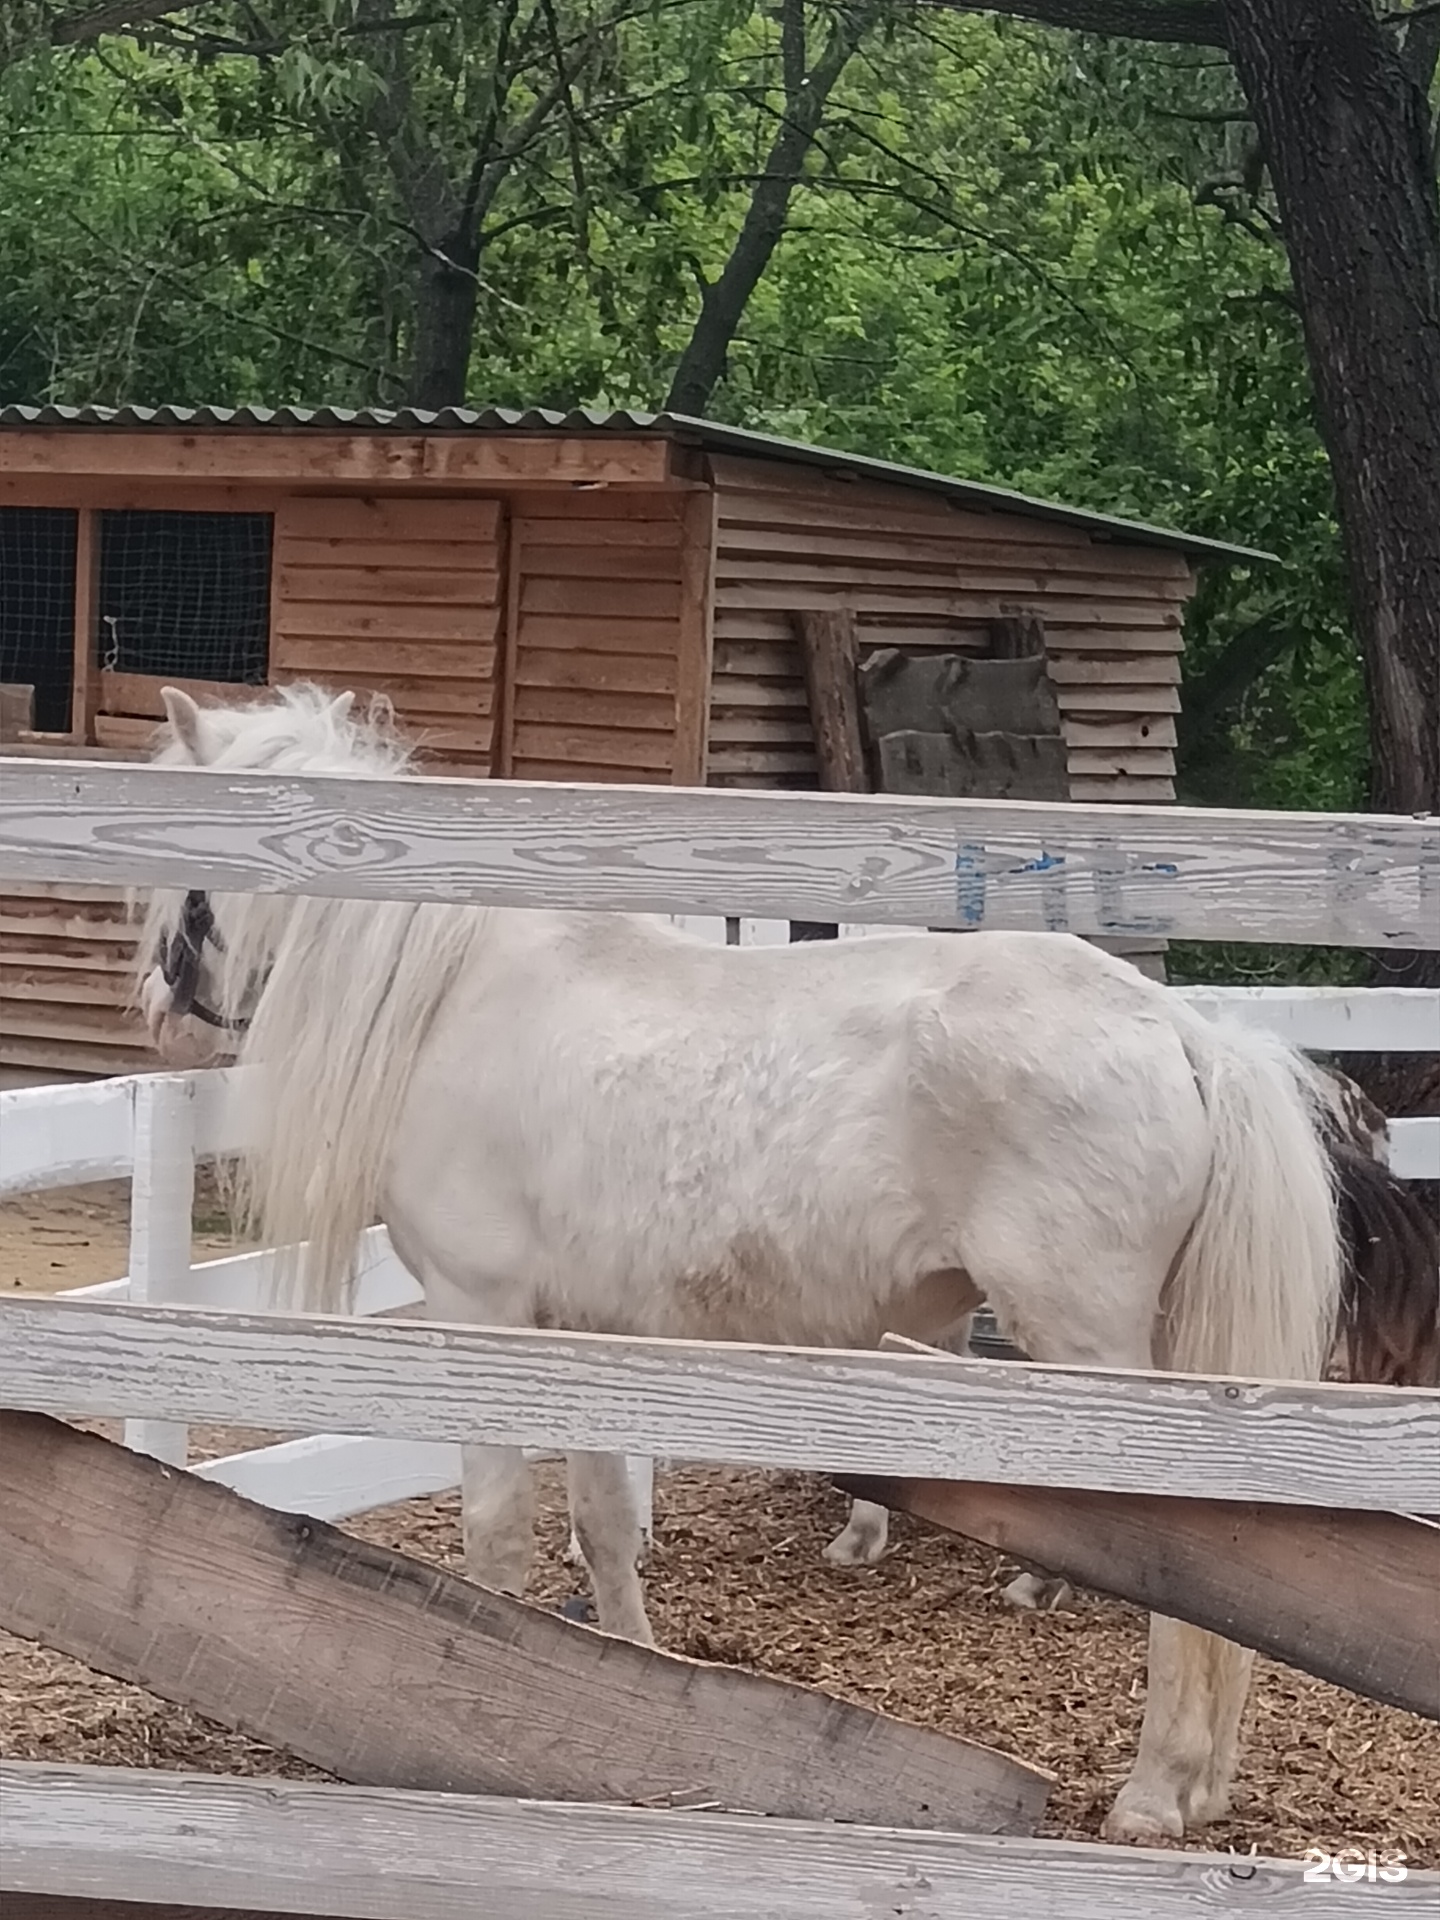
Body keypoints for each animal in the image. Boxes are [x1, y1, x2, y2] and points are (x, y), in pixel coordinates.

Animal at [141, 687, 1351, 1843]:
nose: (159, 1012)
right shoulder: (588, 1336)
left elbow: (496, 1535)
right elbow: (604, 1528)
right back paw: (1203, 1784)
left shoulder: (481, 1317)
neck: (454, 996)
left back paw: (1154, 1791)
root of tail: (1180, 1033)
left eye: (187, 893)